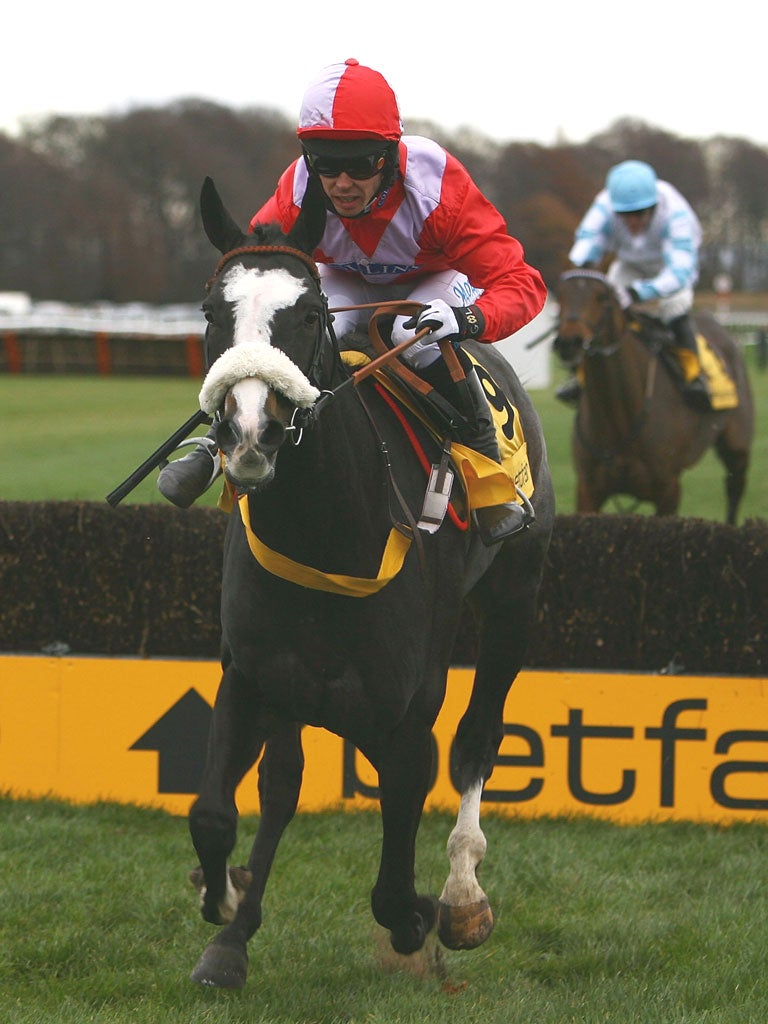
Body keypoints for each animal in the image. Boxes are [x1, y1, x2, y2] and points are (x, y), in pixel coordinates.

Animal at [186, 180, 561, 987]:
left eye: (309, 313)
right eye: (211, 313)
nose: (251, 433)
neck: (330, 532)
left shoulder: (406, 711)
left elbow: (394, 880)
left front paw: (424, 915)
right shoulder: (256, 674)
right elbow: (224, 809)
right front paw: (225, 910)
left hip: (515, 596)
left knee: (479, 736)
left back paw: (462, 893)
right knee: (281, 783)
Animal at [557, 268, 753, 524]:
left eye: (602, 297)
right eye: (560, 295)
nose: (569, 341)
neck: (621, 417)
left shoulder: (668, 490)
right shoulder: (588, 489)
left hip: (738, 448)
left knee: (734, 489)